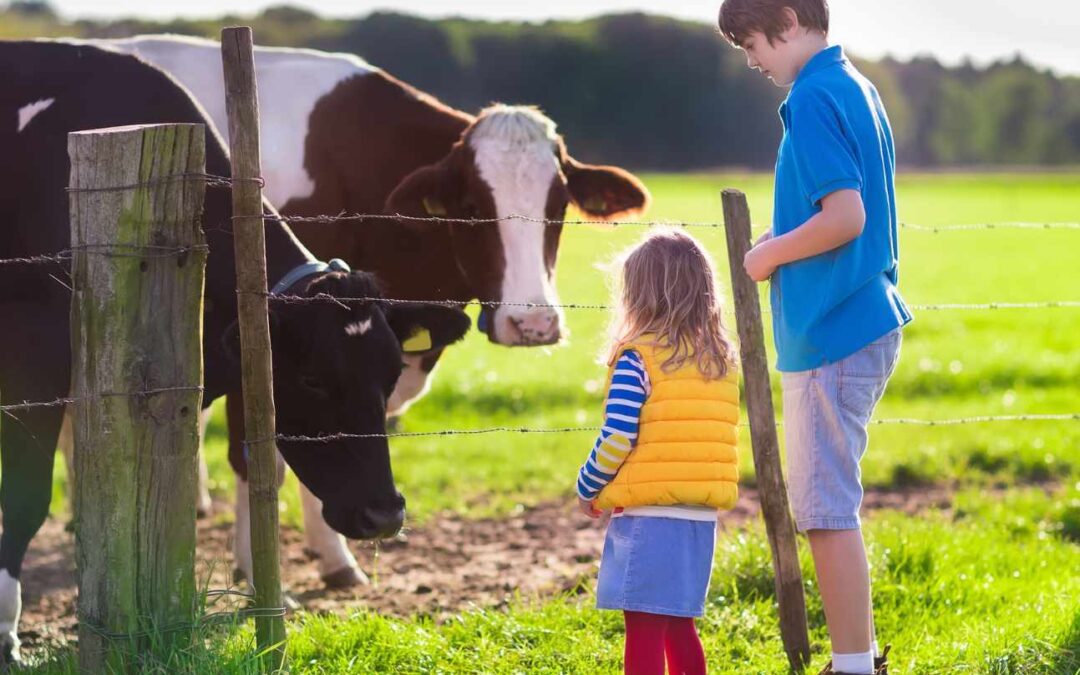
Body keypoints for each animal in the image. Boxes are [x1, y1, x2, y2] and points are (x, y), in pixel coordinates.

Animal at [0, 41, 469, 666]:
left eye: (391, 373)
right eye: (313, 379)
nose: (384, 513)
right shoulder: (36, 358)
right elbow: (26, 497)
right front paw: (5, 630)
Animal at [79, 34, 652, 589]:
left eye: (558, 207)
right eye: (472, 208)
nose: (532, 323)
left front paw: (333, 557)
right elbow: (260, 458)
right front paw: (258, 569)